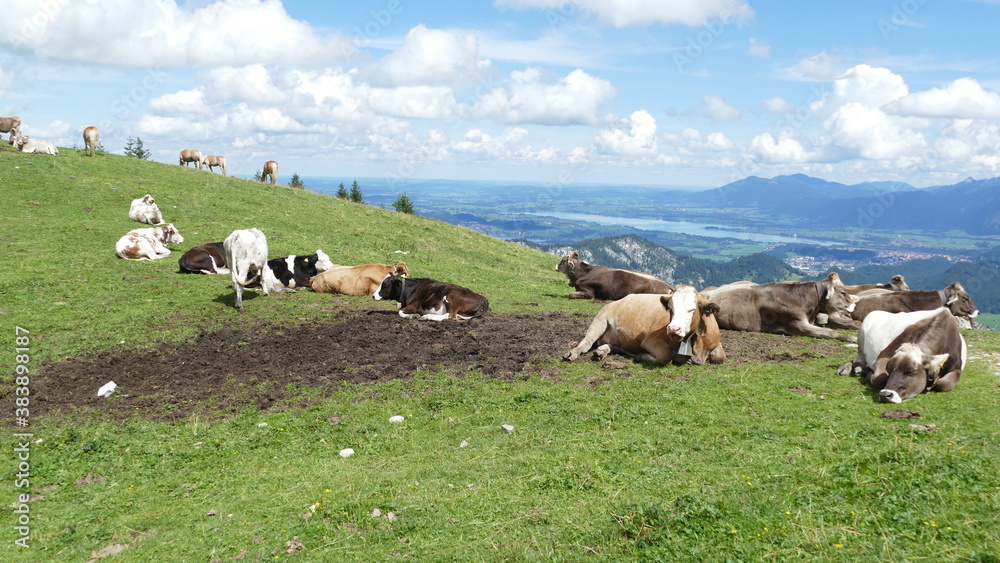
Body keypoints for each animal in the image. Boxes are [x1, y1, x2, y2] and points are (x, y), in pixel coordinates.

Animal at [564, 284, 728, 368]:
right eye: (670, 308)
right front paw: (642, 356)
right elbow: (665, 357)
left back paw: (601, 352)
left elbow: (720, 357)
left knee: (614, 345)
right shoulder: (650, 341)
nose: (673, 329)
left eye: (692, 309)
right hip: (600, 320)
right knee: (586, 342)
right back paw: (573, 353)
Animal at [836, 308, 968, 406]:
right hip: (861, 335)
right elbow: (880, 378)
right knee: (859, 358)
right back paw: (853, 368)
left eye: (911, 372)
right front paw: (870, 375)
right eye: (889, 369)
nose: (885, 395)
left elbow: (944, 384)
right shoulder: (883, 355)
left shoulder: (957, 368)